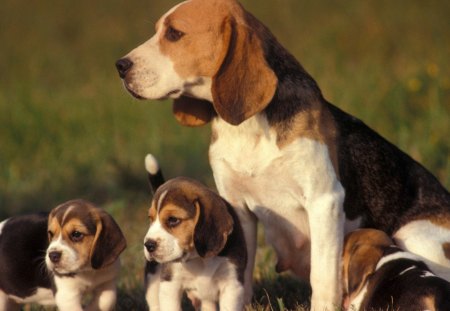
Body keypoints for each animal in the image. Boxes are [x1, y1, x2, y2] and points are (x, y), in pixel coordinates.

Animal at [142, 155, 248, 311]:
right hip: (153, 278)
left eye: (173, 220)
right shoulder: (169, 284)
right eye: (150, 219)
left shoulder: (232, 285)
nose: (148, 245)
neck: (198, 258)